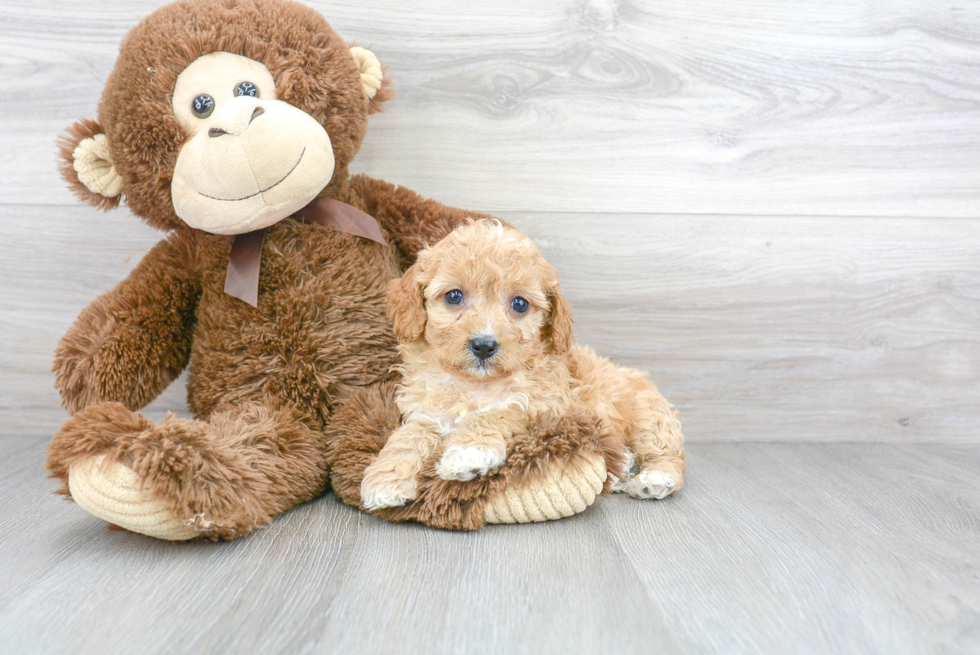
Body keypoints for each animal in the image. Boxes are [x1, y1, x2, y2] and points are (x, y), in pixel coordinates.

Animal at [356, 222, 684, 512]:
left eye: (520, 304)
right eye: (454, 296)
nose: (484, 345)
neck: (476, 384)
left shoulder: (547, 409)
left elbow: (498, 413)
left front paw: (468, 454)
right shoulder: (427, 414)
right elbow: (407, 437)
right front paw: (385, 479)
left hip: (647, 416)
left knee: (666, 451)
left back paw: (655, 478)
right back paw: (622, 468)